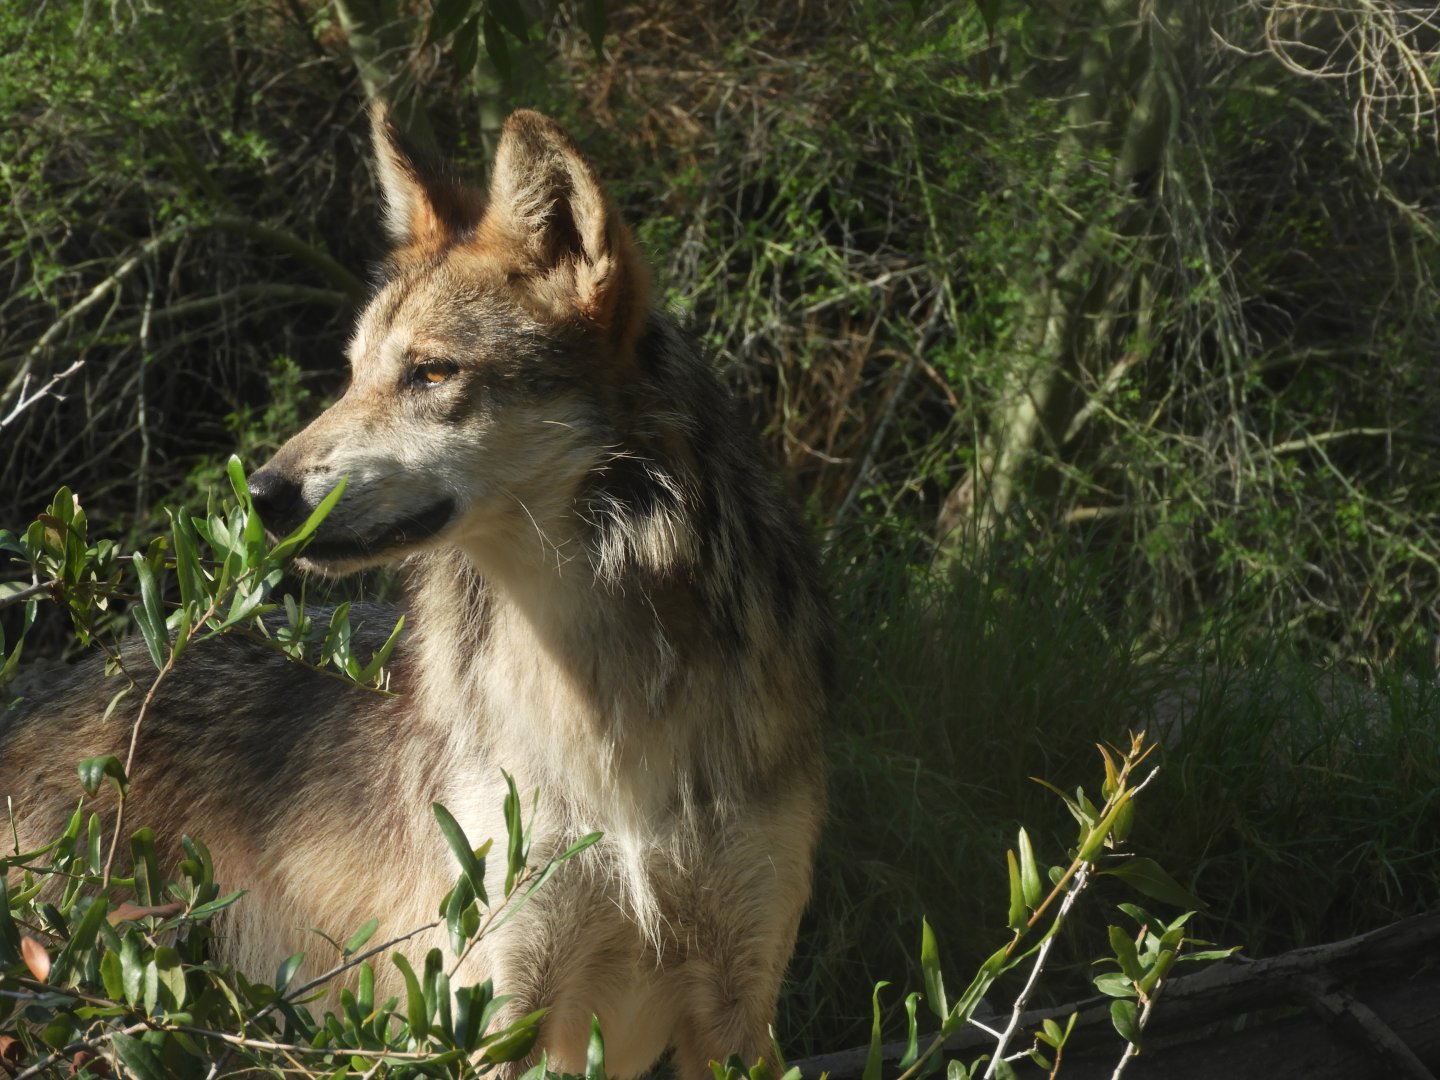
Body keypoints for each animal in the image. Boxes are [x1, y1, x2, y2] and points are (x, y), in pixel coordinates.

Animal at [0, 107, 831, 1078]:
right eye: (354, 371)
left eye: (432, 373)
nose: (263, 494)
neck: (606, 708)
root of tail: (47, 692)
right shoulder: (493, 1006)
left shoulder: (737, 1010)